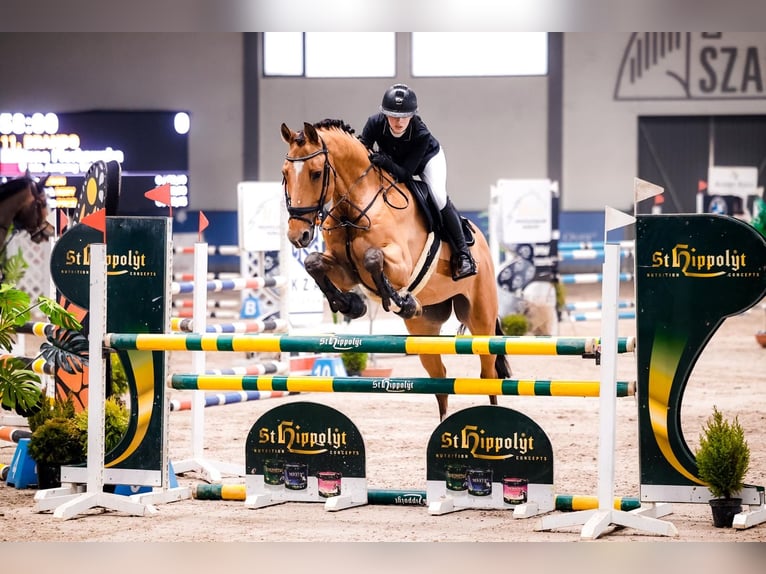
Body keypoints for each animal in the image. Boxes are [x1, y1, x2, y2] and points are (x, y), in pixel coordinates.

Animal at [280, 119, 510, 420]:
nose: (298, 236)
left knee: (489, 373)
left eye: (316, 174)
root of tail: (481, 242)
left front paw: (401, 301)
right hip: (424, 331)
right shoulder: (345, 272)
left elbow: (373, 258)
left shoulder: (400, 265)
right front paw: (350, 304)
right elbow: (314, 263)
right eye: (285, 174)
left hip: (481, 319)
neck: (355, 207)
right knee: (440, 378)